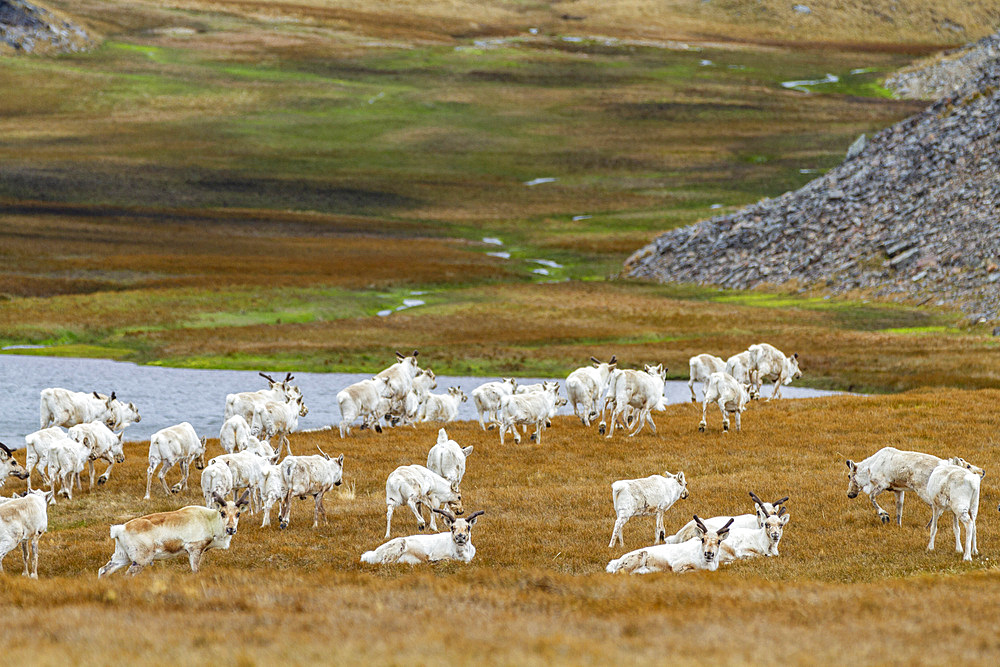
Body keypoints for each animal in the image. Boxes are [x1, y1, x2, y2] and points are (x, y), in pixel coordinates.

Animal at [98, 494, 250, 576]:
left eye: (238, 513)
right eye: (222, 512)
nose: (231, 529)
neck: (209, 520)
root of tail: (119, 529)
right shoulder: (194, 549)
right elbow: (195, 570)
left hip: (122, 556)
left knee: (103, 570)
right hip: (140, 560)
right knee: (128, 574)